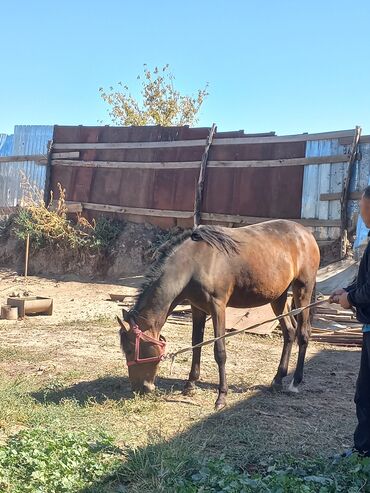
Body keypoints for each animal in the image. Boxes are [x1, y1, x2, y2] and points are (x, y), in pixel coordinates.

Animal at [117, 219, 320, 408]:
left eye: (130, 350)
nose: (139, 388)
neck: (193, 264)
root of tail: (306, 234)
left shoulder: (218, 307)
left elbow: (219, 351)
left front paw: (221, 396)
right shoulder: (197, 308)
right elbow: (196, 344)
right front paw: (190, 385)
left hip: (302, 290)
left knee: (303, 333)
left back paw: (296, 381)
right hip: (278, 297)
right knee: (290, 331)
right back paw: (278, 379)